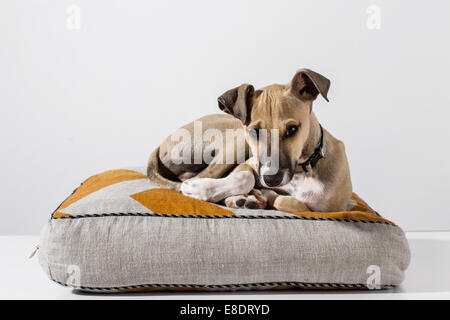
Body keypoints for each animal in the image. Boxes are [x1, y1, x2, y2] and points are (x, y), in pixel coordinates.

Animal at [148, 69, 352, 212]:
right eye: (255, 131)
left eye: (293, 129)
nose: (271, 179)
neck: (303, 171)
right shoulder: (249, 163)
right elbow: (245, 177)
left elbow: (296, 204)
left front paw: (262, 196)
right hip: (235, 144)